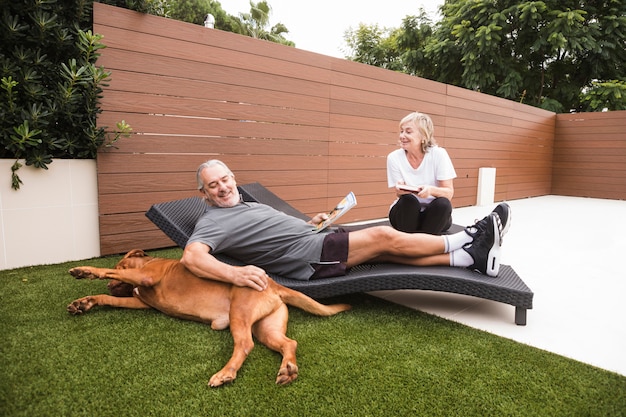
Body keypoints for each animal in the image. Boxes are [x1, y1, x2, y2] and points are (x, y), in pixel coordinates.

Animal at [69, 247, 352, 386]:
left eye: (120, 263)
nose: (109, 286)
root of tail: (273, 284)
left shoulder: (144, 277)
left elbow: (111, 272)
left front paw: (86, 271)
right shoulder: (140, 301)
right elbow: (109, 298)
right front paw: (86, 302)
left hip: (239, 313)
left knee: (244, 344)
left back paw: (226, 373)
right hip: (266, 328)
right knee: (288, 343)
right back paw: (288, 369)